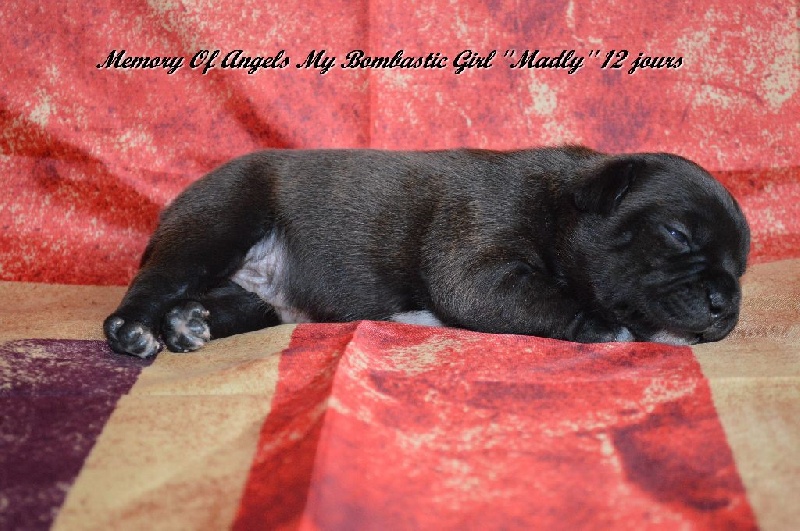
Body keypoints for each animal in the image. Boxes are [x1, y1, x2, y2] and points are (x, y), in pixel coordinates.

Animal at [104, 146, 750, 358]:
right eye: (677, 235)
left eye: (741, 268)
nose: (727, 301)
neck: (562, 204)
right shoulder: (474, 269)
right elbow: (548, 297)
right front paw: (601, 325)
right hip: (218, 222)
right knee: (156, 282)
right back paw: (134, 330)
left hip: (256, 299)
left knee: (221, 303)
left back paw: (189, 323)